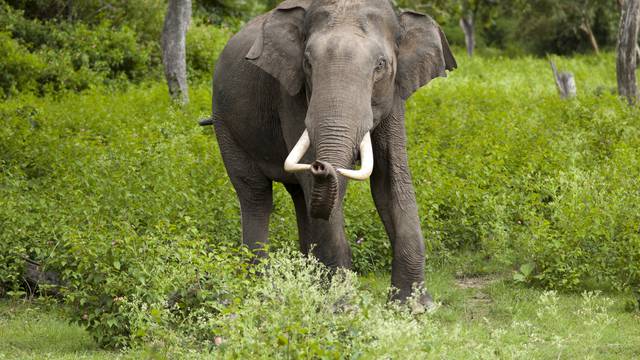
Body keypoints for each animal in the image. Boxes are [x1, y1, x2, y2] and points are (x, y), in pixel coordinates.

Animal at [206, 0, 456, 306]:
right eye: (307, 63)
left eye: (381, 65)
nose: (320, 166)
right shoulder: (291, 94)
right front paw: (341, 306)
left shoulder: (394, 95)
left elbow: (390, 181)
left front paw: (415, 308)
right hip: (225, 124)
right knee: (256, 195)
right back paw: (260, 288)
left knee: (299, 197)